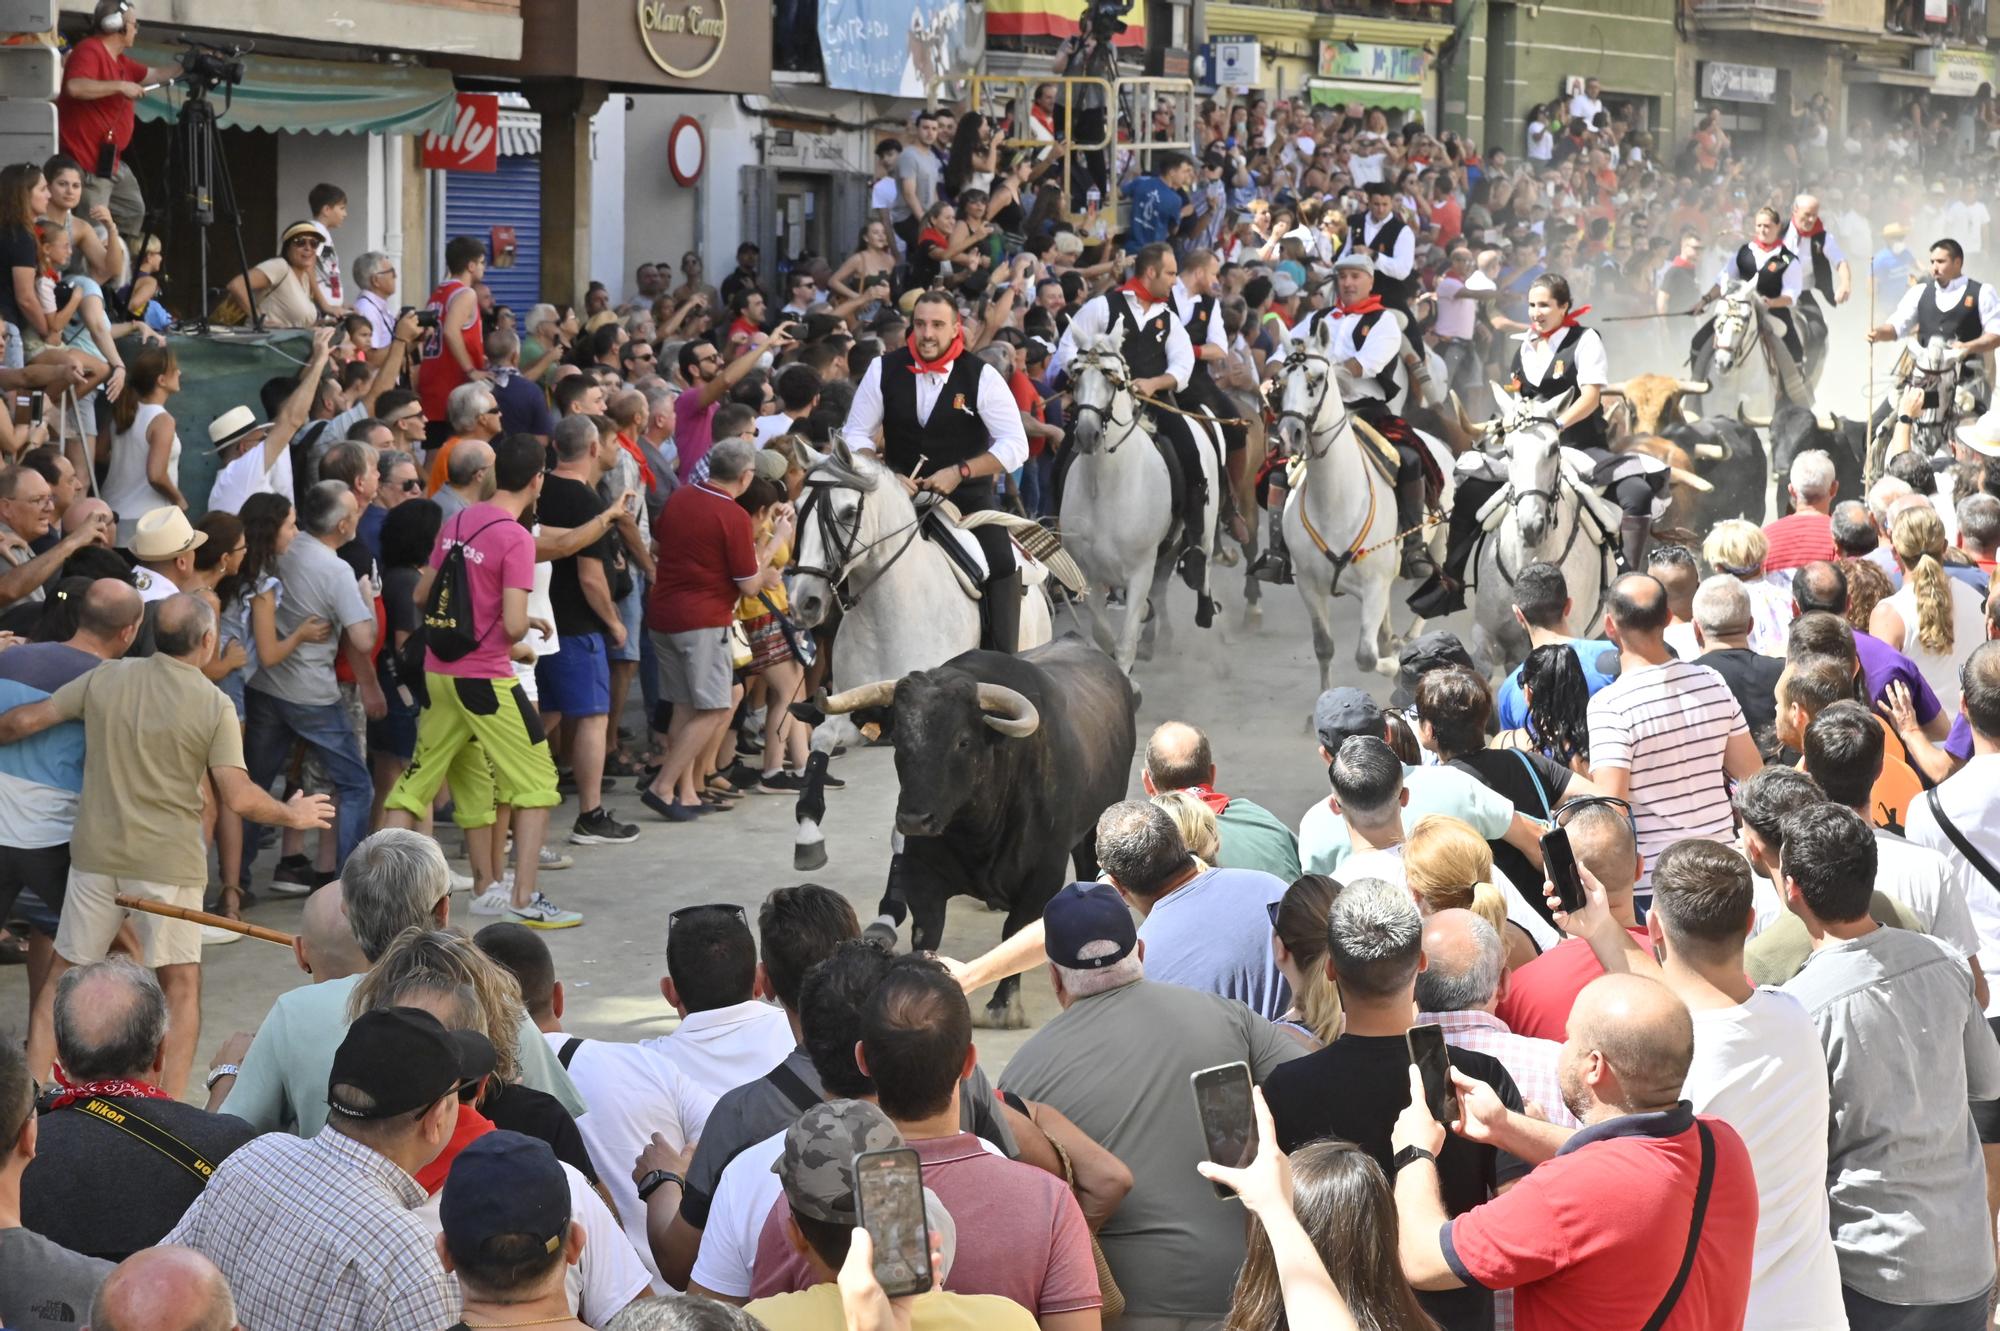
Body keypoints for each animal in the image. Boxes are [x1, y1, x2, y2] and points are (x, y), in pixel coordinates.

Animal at [784, 439, 1056, 867]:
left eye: (848, 512)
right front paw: (808, 830)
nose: (804, 602)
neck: (887, 617)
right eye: (797, 508)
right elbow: (821, 739)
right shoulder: (856, 706)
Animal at [796, 639, 1144, 1019]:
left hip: (1095, 824)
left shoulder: (1043, 874)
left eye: (962, 741)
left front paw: (1004, 1004)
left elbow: (1014, 931)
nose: (914, 820)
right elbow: (927, 931)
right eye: (898, 739)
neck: (977, 831)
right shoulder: (921, 873)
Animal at [1064, 331, 1216, 675]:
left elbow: (1124, 644)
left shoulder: (1139, 571)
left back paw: (1203, 609)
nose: (1087, 434)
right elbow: (1103, 634)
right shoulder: (1089, 574)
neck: (1105, 486)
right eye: (1076, 373)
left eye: (1113, 377)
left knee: (1202, 558)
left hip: (1204, 529)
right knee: (1159, 591)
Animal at [1280, 319, 1456, 683]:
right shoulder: (1309, 586)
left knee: (1434, 587)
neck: (1334, 502)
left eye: (1316, 379)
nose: (1290, 434)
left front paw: (1397, 662)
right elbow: (1324, 647)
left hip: (1438, 544)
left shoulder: (1373, 586)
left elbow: (1366, 656)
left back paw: (1406, 639)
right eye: (1280, 382)